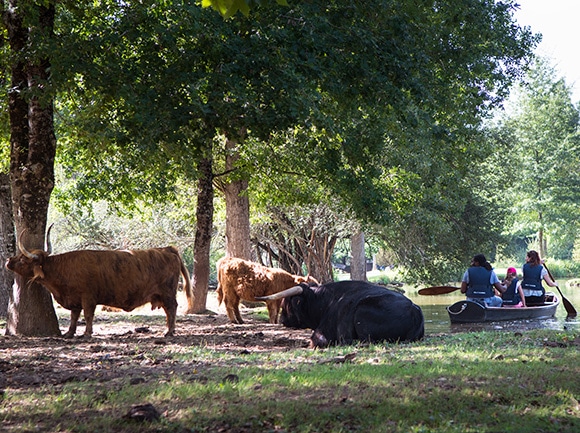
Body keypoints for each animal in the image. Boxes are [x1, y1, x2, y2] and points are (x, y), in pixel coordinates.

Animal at [6, 233, 195, 338]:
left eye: (22, 259)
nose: (8, 260)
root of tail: (166, 249)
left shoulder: (88, 297)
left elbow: (88, 315)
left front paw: (87, 334)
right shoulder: (75, 299)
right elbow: (74, 316)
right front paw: (69, 333)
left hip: (168, 293)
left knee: (172, 309)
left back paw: (169, 332)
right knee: (168, 311)